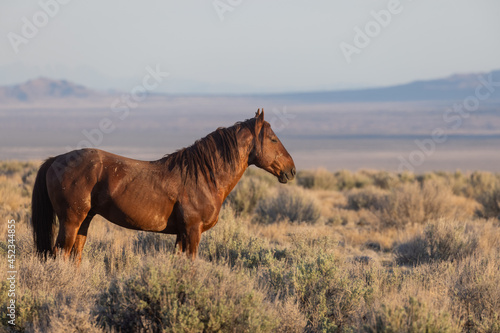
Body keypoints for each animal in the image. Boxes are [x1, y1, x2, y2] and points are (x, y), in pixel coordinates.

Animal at [31, 109, 294, 262]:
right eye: (273, 139)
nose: (291, 170)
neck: (204, 176)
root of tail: (56, 160)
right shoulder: (192, 232)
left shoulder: (181, 234)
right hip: (70, 221)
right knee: (60, 255)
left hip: (84, 221)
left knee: (74, 256)